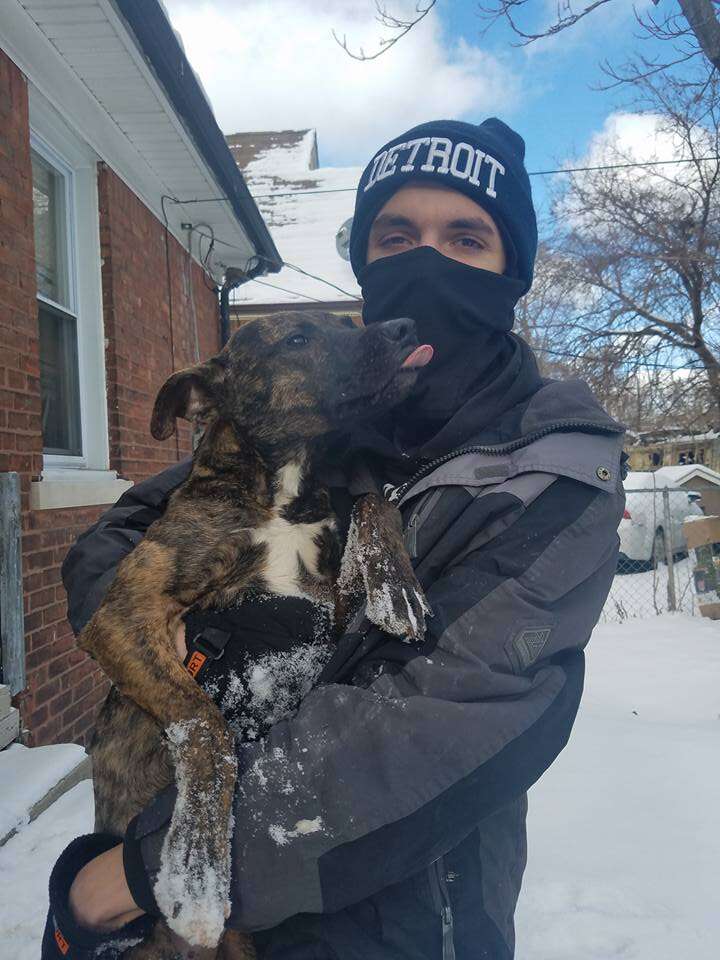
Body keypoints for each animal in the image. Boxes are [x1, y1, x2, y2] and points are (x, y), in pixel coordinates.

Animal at [83, 312, 434, 956]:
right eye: (297, 338)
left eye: (347, 319)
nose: (403, 326)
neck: (278, 491)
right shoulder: (122, 614)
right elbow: (205, 727)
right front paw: (195, 866)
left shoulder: (327, 607)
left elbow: (373, 501)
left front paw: (396, 585)